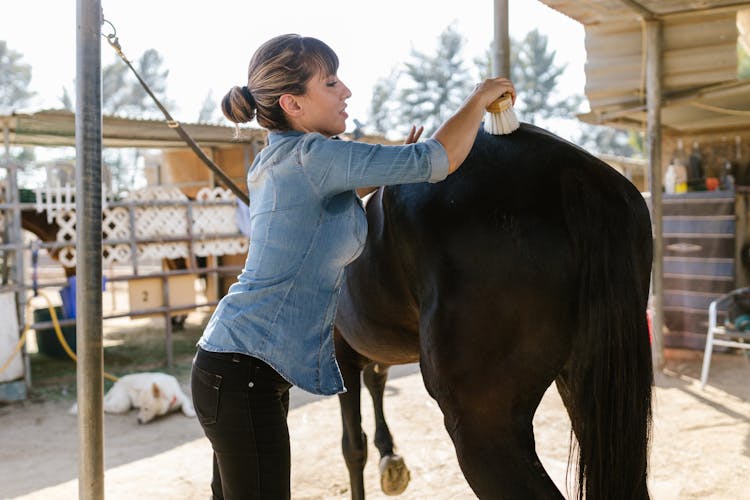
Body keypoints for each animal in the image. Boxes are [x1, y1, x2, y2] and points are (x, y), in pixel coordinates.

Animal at [338, 123, 656, 498]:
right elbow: (375, 382)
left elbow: (352, 446)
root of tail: (571, 171)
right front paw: (390, 456)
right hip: (590, 390)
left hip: (483, 427)